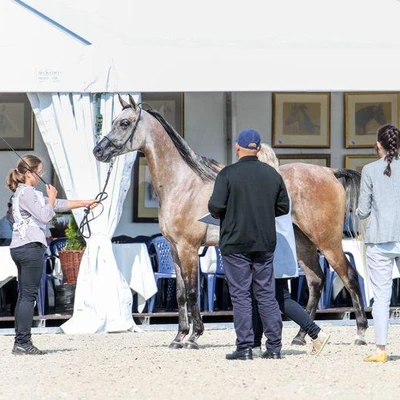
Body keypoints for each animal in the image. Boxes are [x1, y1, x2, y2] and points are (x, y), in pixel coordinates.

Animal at [92, 95, 368, 348]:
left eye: (125, 123)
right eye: (114, 121)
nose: (98, 151)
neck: (183, 183)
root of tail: (330, 172)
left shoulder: (188, 248)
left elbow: (191, 292)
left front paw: (194, 337)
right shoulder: (174, 250)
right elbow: (180, 294)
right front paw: (178, 337)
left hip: (327, 240)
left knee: (349, 276)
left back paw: (361, 333)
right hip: (303, 243)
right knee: (316, 281)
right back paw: (300, 337)